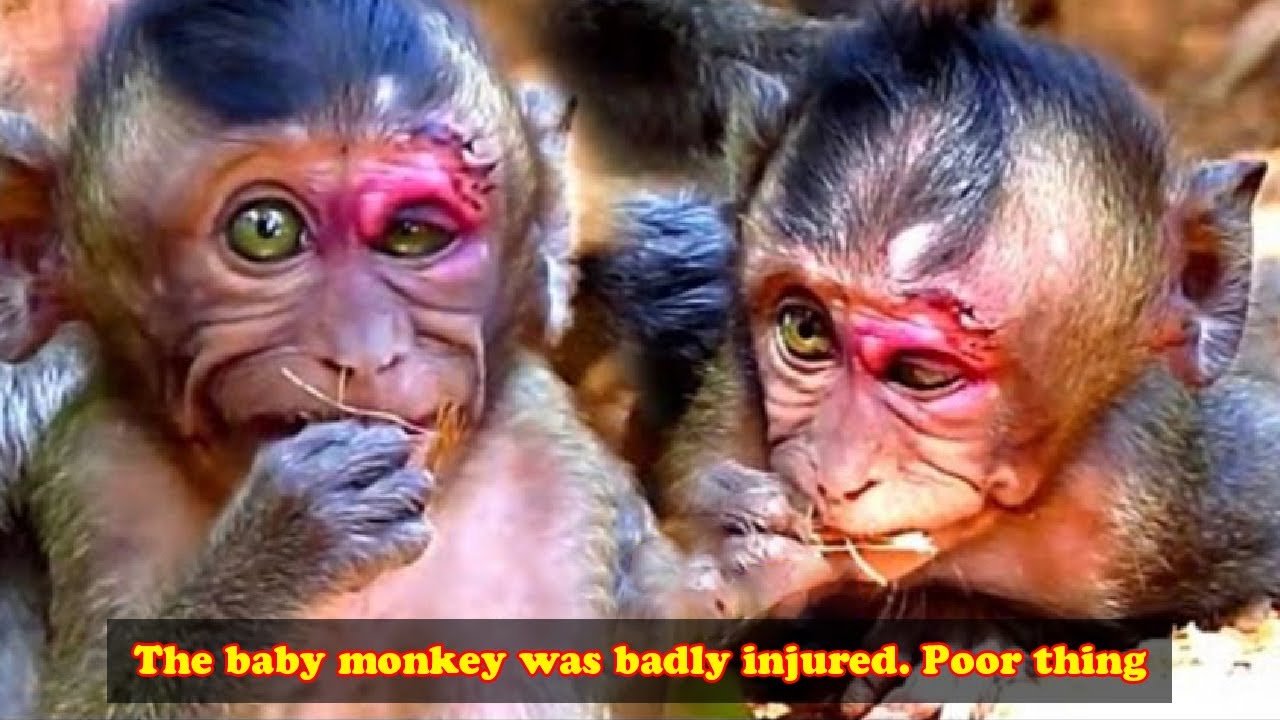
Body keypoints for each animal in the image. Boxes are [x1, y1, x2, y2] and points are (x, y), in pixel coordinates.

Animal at [0, 0, 762, 717]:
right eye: (265, 231)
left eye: (412, 233)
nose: (364, 352)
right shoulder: (101, 477)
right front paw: (281, 552)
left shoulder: (551, 483)